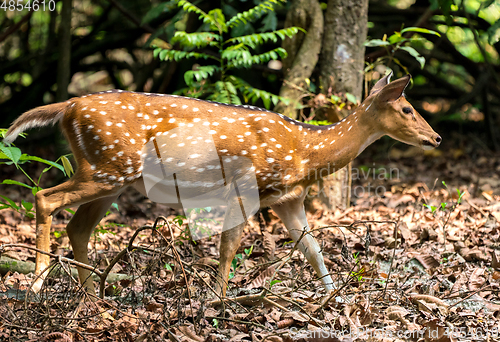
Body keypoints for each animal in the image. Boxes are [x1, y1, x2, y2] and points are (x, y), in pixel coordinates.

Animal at [3, 72, 442, 296]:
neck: (305, 151)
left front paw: (335, 296)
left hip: (109, 175)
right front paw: (219, 299)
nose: (436, 138)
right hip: (108, 166)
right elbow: (230, 246)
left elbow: (313, 248)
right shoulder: (246, 185)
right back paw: (38, 282)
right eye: (407, 108)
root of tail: (68, 107)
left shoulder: (287, 198)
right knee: (43, 198)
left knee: (77, 226)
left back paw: (94, 298)